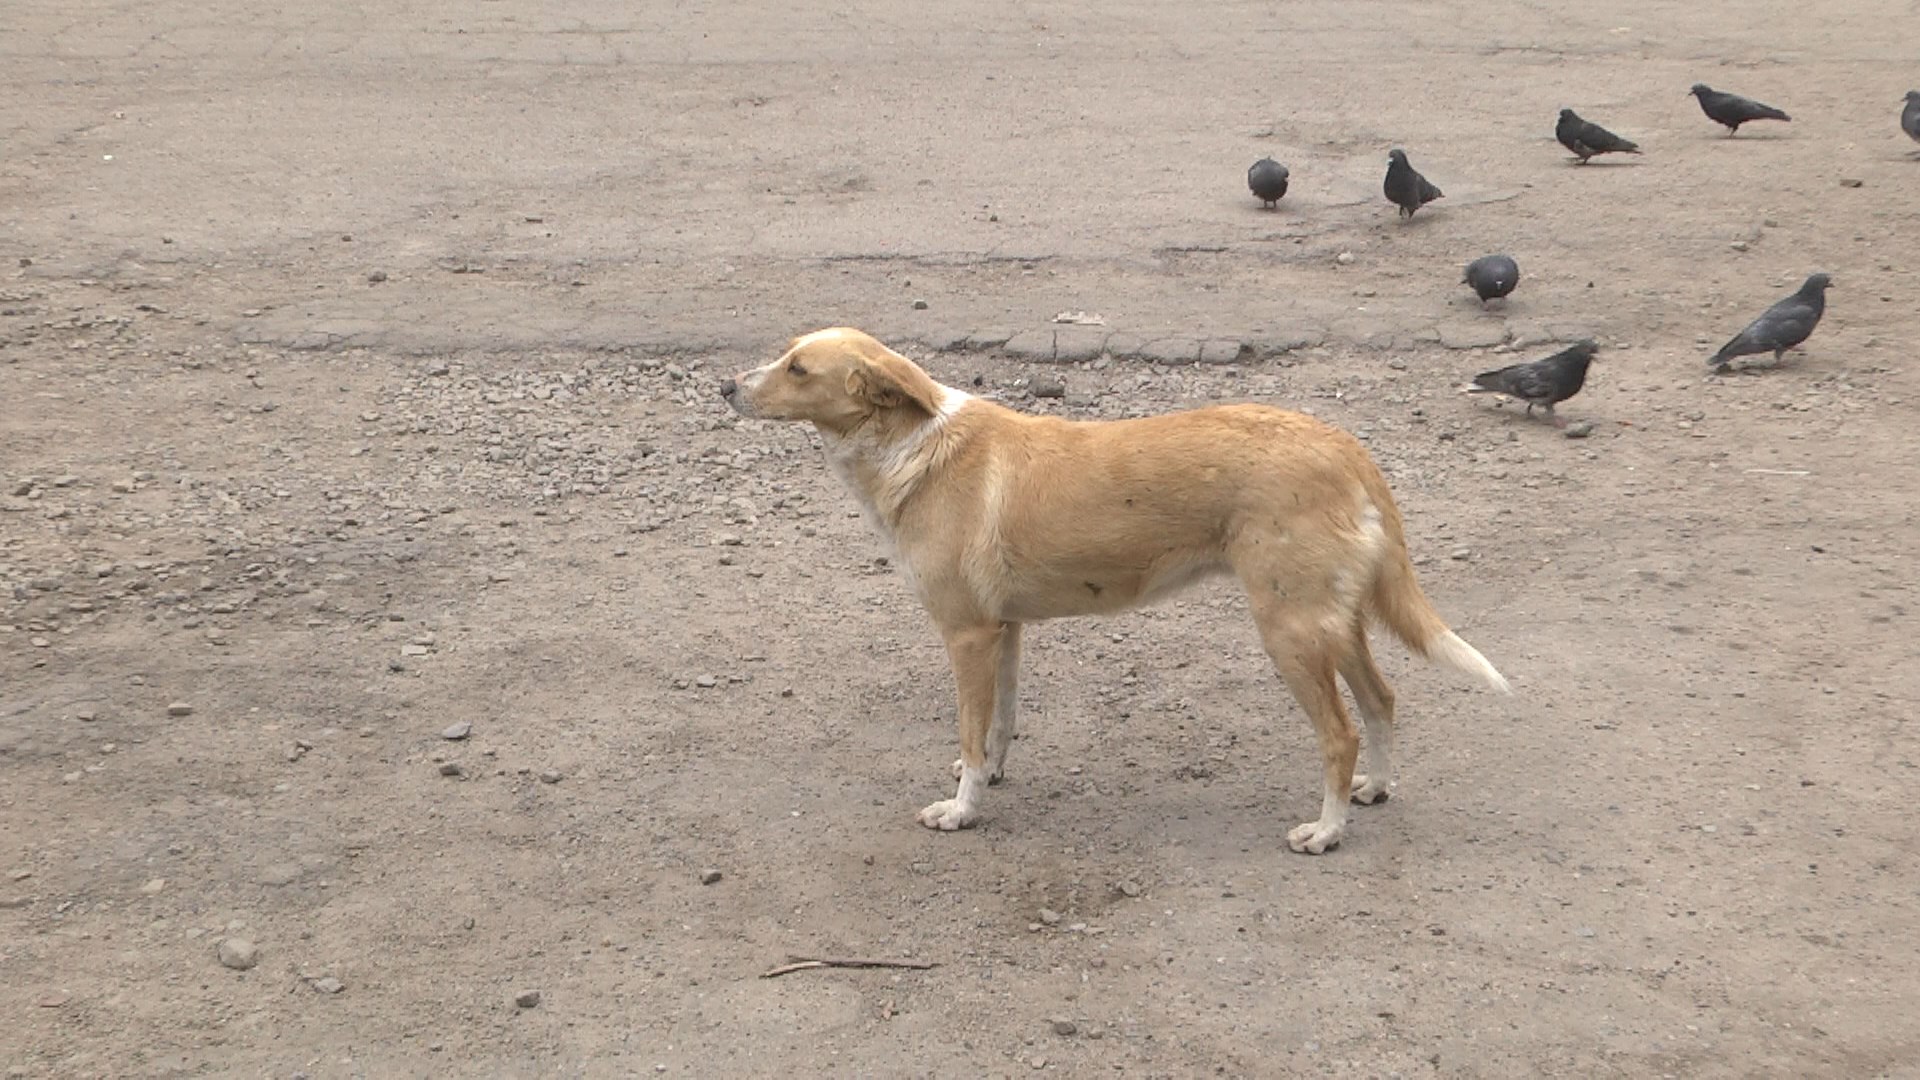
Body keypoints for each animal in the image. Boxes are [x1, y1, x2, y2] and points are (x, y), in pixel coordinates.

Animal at [721, 322, 1512, 845]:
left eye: (797, 368)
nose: (726, 385)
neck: (914, 448)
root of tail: (1343, 446)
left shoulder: (966, 636)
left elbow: (972, 736)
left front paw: (962, 810)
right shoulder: (1004, 631)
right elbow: (1000, 724)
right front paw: (994, 777)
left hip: (1290, 631)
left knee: (1341, 733)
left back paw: (1326, 830)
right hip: (1333, 623)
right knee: (1382, 701)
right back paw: (1375, 789)